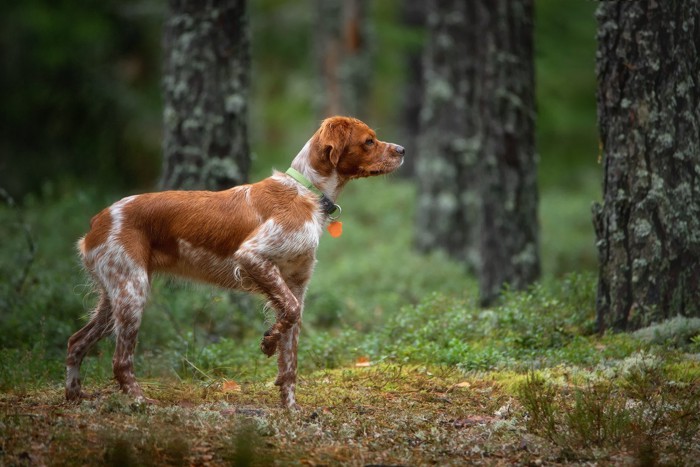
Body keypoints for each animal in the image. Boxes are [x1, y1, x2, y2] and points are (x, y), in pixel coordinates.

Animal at [67, 117, 404, 410]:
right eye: (369, 141)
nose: (402, 150)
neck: (306, 193)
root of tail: (98, 221)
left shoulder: (296, 283)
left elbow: (291, 352)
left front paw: (290, 406)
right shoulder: (252, 255)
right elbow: (290, 313)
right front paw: (268, 342)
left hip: (115, 296)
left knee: (75, 342)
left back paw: (75, 396)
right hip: (132, 293)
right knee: (120, 361)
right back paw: (140, 401)